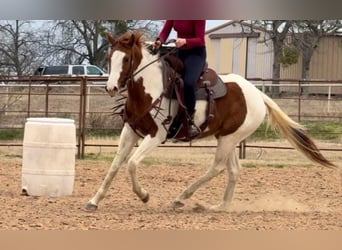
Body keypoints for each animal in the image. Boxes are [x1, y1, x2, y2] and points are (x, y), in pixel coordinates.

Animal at [84, 30, 336, 212]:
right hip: (228, 137)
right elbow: (116, 165)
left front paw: (144, 195)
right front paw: (94, 201)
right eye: (110, 57)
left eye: (126, 58)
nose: (111, 88)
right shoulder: (131, 130)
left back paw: (181, 199)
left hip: (228, 140)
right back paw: (220, 207)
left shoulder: (156, 135)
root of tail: (257, 94)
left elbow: (132, 164)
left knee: (217, 168)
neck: (151, 89)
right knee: (233, 171)